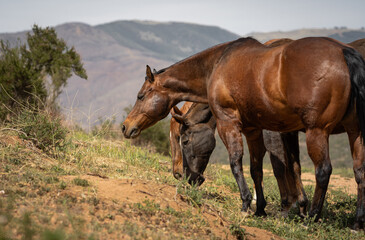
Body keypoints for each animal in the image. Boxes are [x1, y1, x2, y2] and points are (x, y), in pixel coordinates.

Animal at [121, 36, 364, 229]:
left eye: (185, 140)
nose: (125, 126)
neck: (216, 66)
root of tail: (344, 53)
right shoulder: (253, 130)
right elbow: (257, 169)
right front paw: (261, 209)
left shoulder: (229, 124)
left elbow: (237, 162)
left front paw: (247, 203)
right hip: (355, 131)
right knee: (359, 172)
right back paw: (356, 223)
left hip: (317, 132)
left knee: (323, 171)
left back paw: (312, 218)